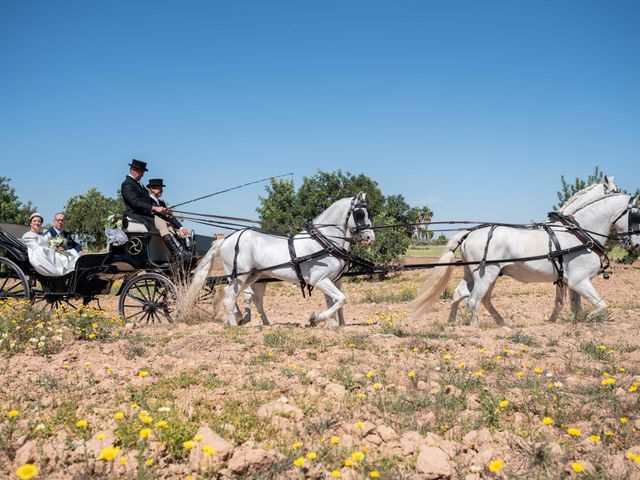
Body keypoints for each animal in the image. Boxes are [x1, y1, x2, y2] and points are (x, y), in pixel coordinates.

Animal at [186, 194, 376, 326]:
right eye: (360, 214)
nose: (370, 238)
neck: (324, 241)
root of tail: (225, 239)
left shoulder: (334, 280)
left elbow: (336, 302)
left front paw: (337, 325)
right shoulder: (319, 280)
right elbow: (341, 299)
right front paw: (315, 318)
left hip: (252, 276)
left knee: (243, 296)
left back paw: (258, 322)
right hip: (239, 275)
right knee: (229, 298)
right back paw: (234, 326)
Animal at [412, 176, 636, 326]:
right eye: (635, 214)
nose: (633, 243)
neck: (579, 233)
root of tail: (470, 232)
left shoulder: (567, 282)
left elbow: (568, 305)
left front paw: (560, 323)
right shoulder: (579, 281)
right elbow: (601, 305)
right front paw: (590, 318)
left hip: (476, 274)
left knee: (462, 295)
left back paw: (468, 324)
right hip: (486, 275)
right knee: (474, 300)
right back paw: (476, 328)